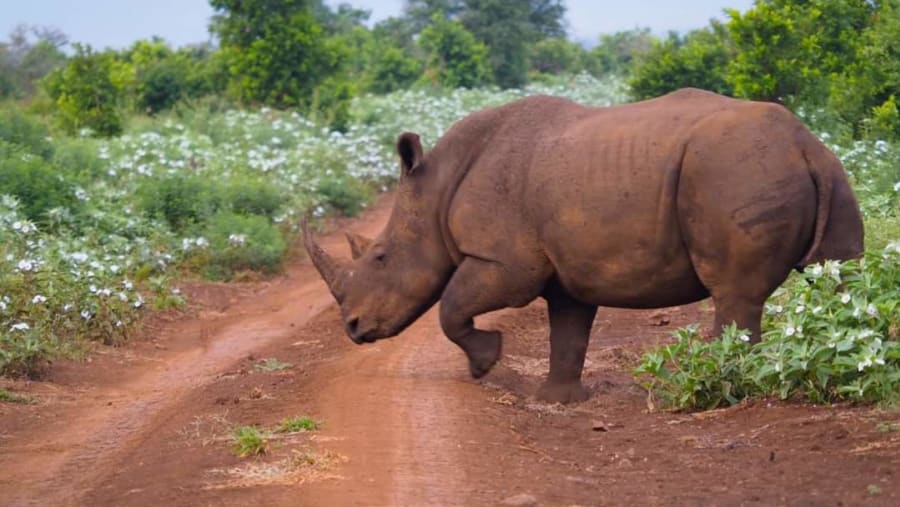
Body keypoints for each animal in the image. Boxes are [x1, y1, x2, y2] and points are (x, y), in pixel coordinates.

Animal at [302, 88, 864, 404]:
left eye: (380, 258)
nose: (353, 328)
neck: (435, 188)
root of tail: (803, 144)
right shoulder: (565, 270)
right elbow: (567, 331)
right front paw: (559, 399)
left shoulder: (506, 262)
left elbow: (451, 308)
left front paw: (486, 365)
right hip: (821, 172)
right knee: (841, 279)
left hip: (733, 170)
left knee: (736, 294)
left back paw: (722, 389)